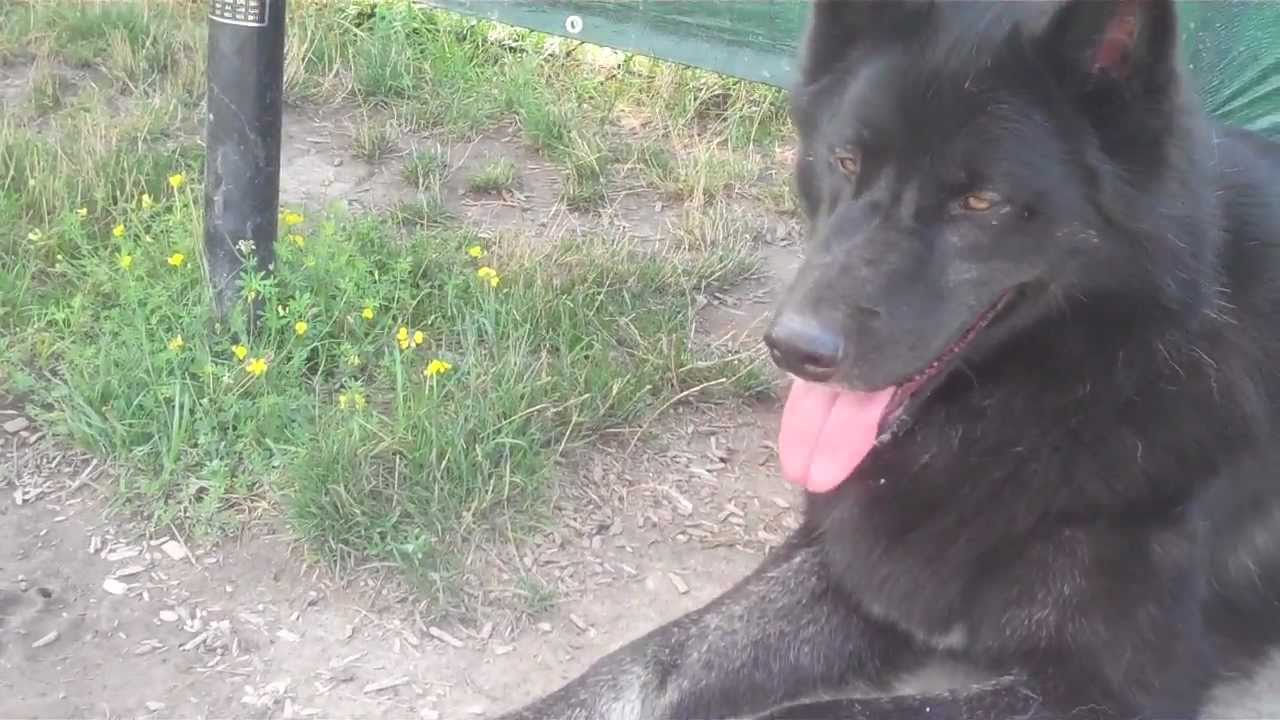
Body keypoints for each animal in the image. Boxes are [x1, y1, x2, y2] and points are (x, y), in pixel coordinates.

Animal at [494, 0, 1280, 717]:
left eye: (981, 201)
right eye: (846, 160)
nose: (794, 349)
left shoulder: (1102, 691)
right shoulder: (854, 565)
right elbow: (651, 662)